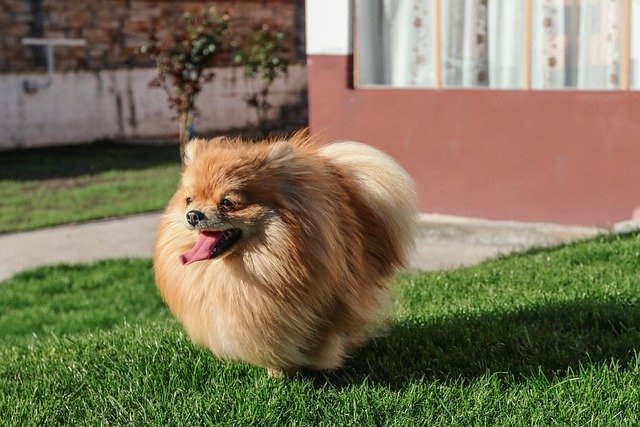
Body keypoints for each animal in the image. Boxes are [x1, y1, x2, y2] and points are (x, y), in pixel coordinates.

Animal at [154, 134, 416, 378]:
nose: (192, 215)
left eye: (228, 203)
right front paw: (277, 372)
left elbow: (321, 335)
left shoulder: (327, 301)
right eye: (189, 199)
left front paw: (314, 365)